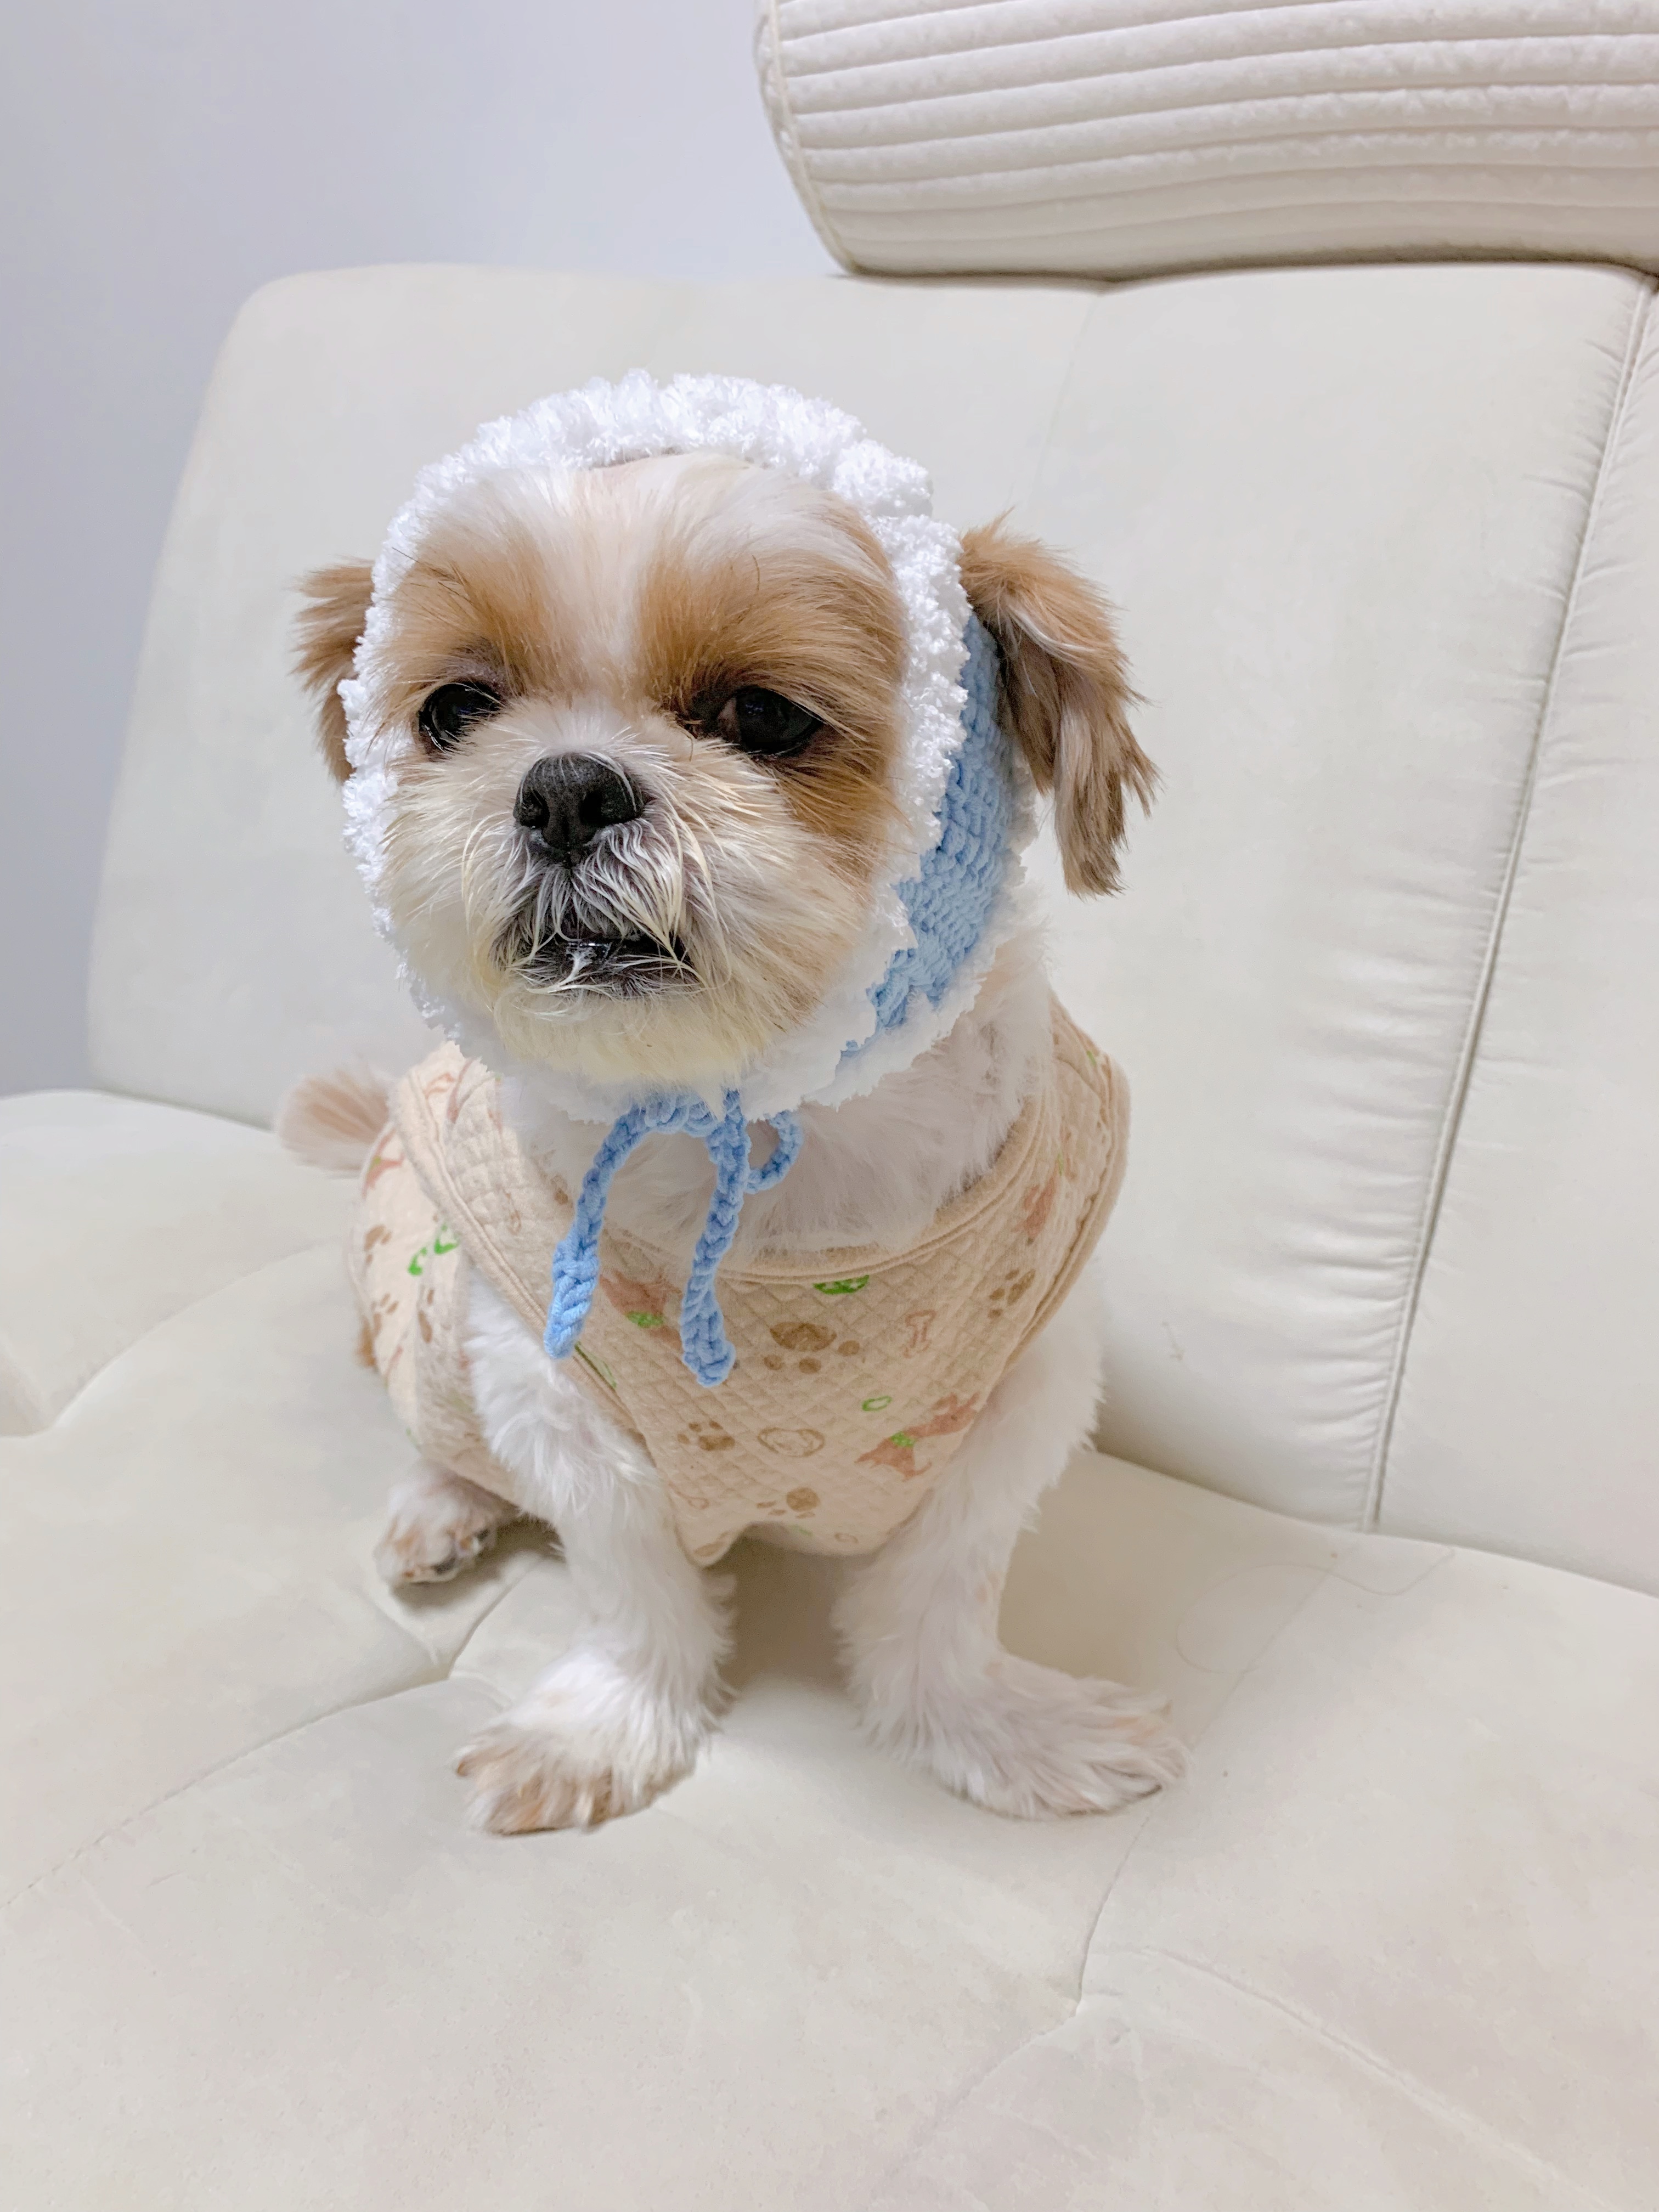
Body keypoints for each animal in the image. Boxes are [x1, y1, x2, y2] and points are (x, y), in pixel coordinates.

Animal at [280, 375, 1184, 1834]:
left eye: (763, 717)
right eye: (458, 710)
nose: (566, 786)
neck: (749, 1131)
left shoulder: (1019, 1399)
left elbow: (941, 1596)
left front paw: (998, 1732)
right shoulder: (552, 1389)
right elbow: (633, 1592)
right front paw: (598, 1732)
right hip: (430, 1315)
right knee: (435, 1420)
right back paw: (439, 1507)